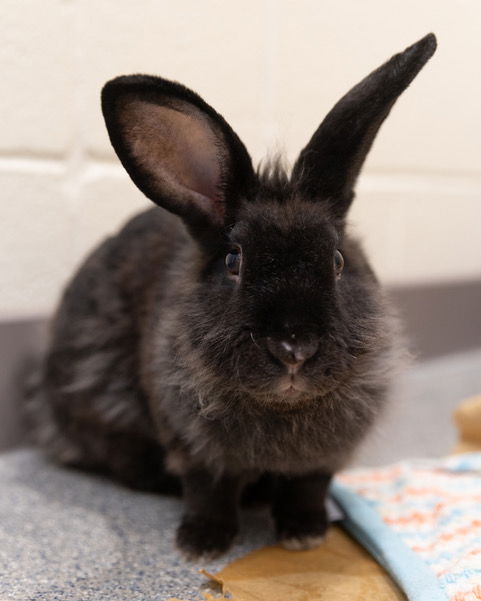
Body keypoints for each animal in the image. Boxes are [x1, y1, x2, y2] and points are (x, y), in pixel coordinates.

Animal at [25, 32, 436, 556]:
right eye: (234, 262)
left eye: (339, 261)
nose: (294, 348)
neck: (282, 409)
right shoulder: (195, 448)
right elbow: (209, 492)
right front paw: (202, 543)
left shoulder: (322, 460)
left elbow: (307, 487)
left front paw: (304, 534)